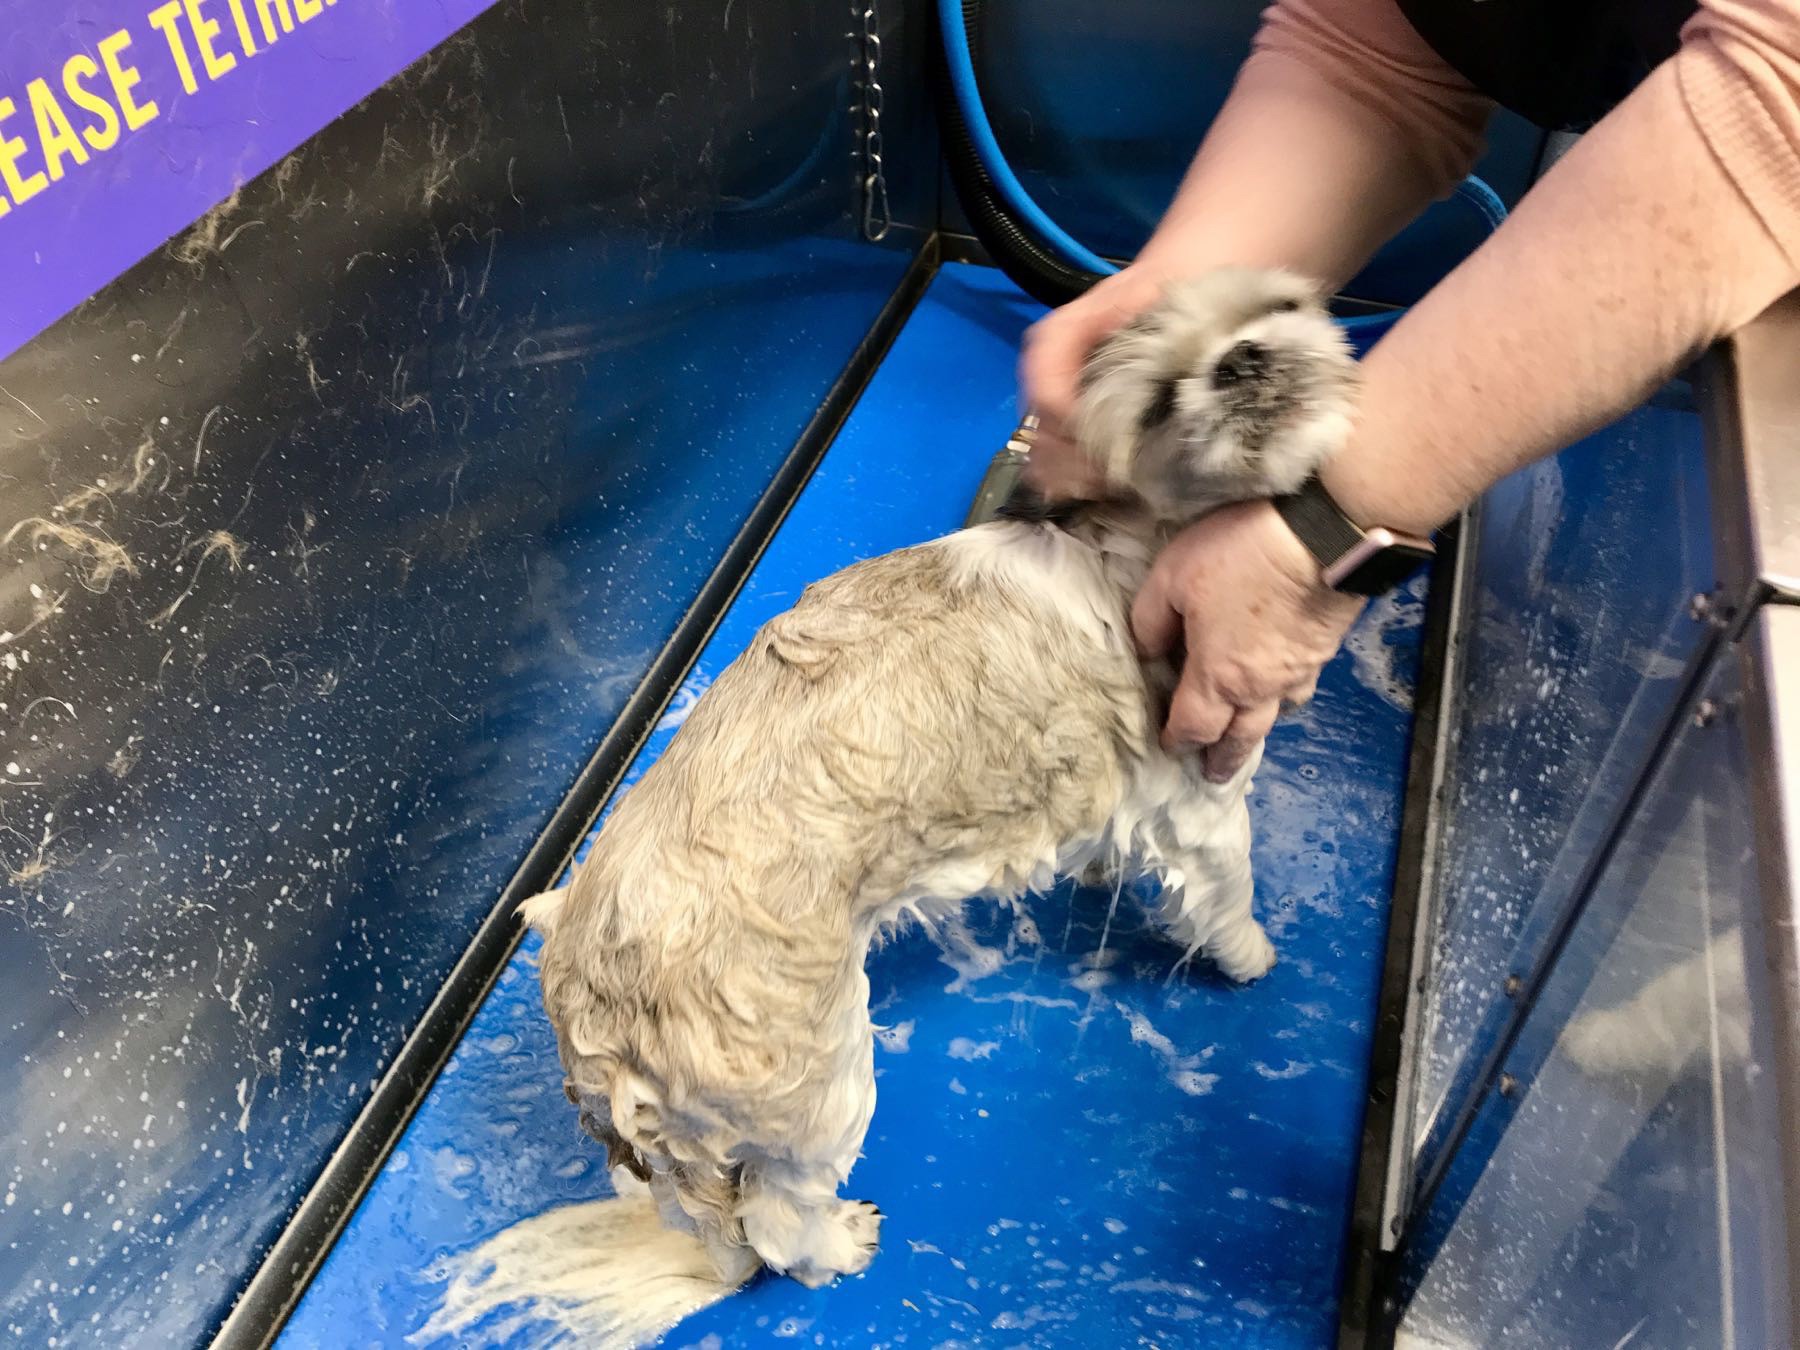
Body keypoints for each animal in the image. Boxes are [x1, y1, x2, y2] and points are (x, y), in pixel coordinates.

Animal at [518, 264, 1353, 1288]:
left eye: (1283, 305)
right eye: (1161, 402)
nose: (1244, 359)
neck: (1124, 533)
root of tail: (585, 991)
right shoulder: (1205, 796)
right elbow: (1227, 896)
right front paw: (1249, 954)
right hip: (815, 1083)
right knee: (779, 1220)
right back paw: (838, 1240)